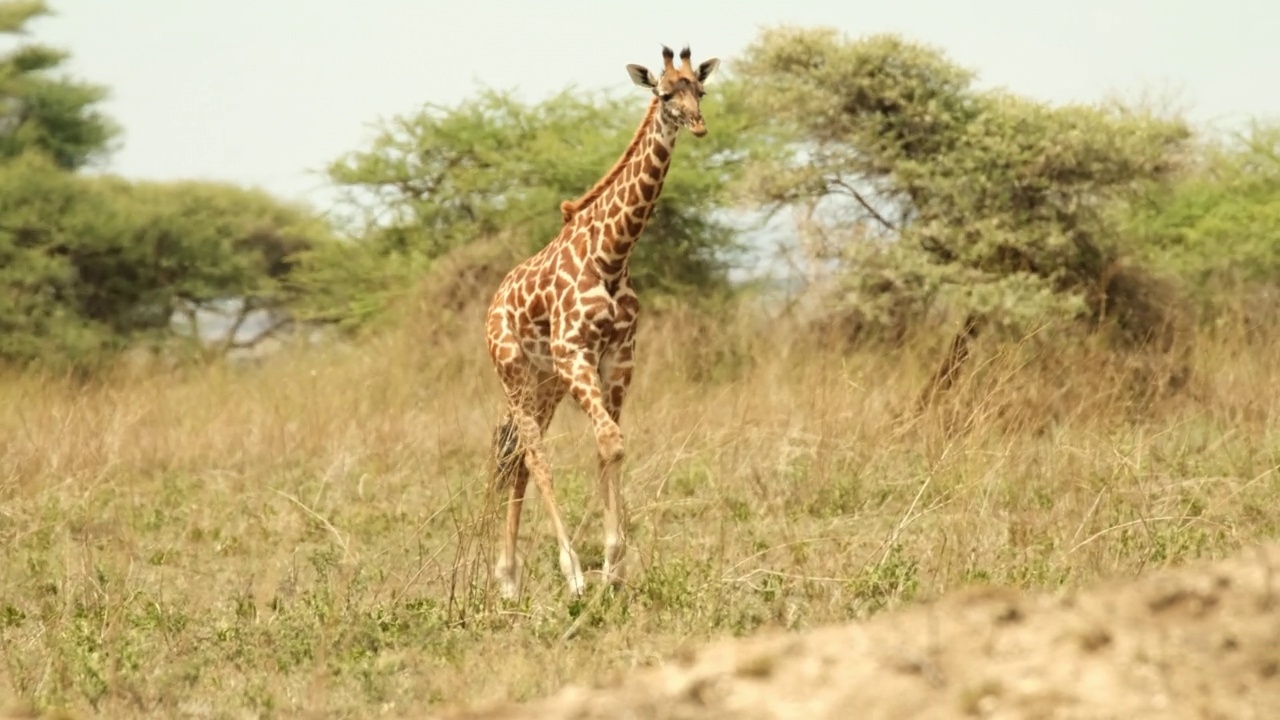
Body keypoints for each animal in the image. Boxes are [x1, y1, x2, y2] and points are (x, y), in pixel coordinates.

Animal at [483, 41, 721, 597]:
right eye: (664, 94)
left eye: (699, 90)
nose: (697, 124)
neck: (613, 254)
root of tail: (493, 305)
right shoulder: (576, 353)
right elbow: (610, 441)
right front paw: (592, 572)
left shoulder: (619, 357)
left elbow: (609, 445)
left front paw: (615, 567)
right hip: (515, 372)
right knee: (532, 455)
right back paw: (565, 571)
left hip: (545, 382)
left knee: (518, 459)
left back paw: (509, 579)